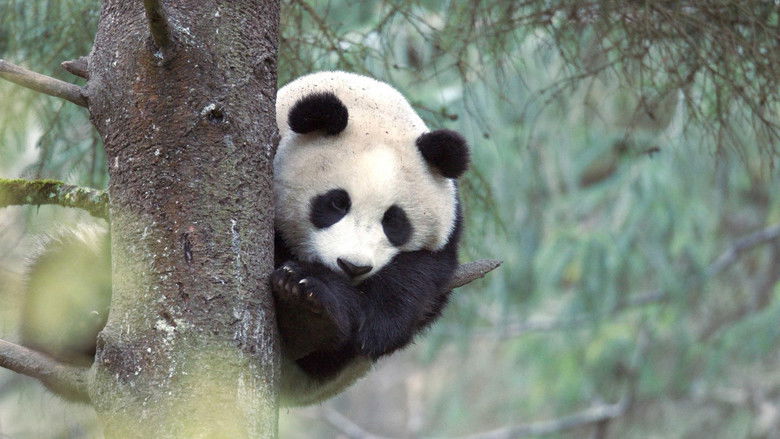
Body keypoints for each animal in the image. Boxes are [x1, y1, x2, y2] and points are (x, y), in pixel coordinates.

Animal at [20, 71, 470, 406]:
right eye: (334, 203)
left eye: (395, 222)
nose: (352, 266)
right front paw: (310, 290)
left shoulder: (445, 240)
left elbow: (411, 293)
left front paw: (317, 297)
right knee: (63, 267)